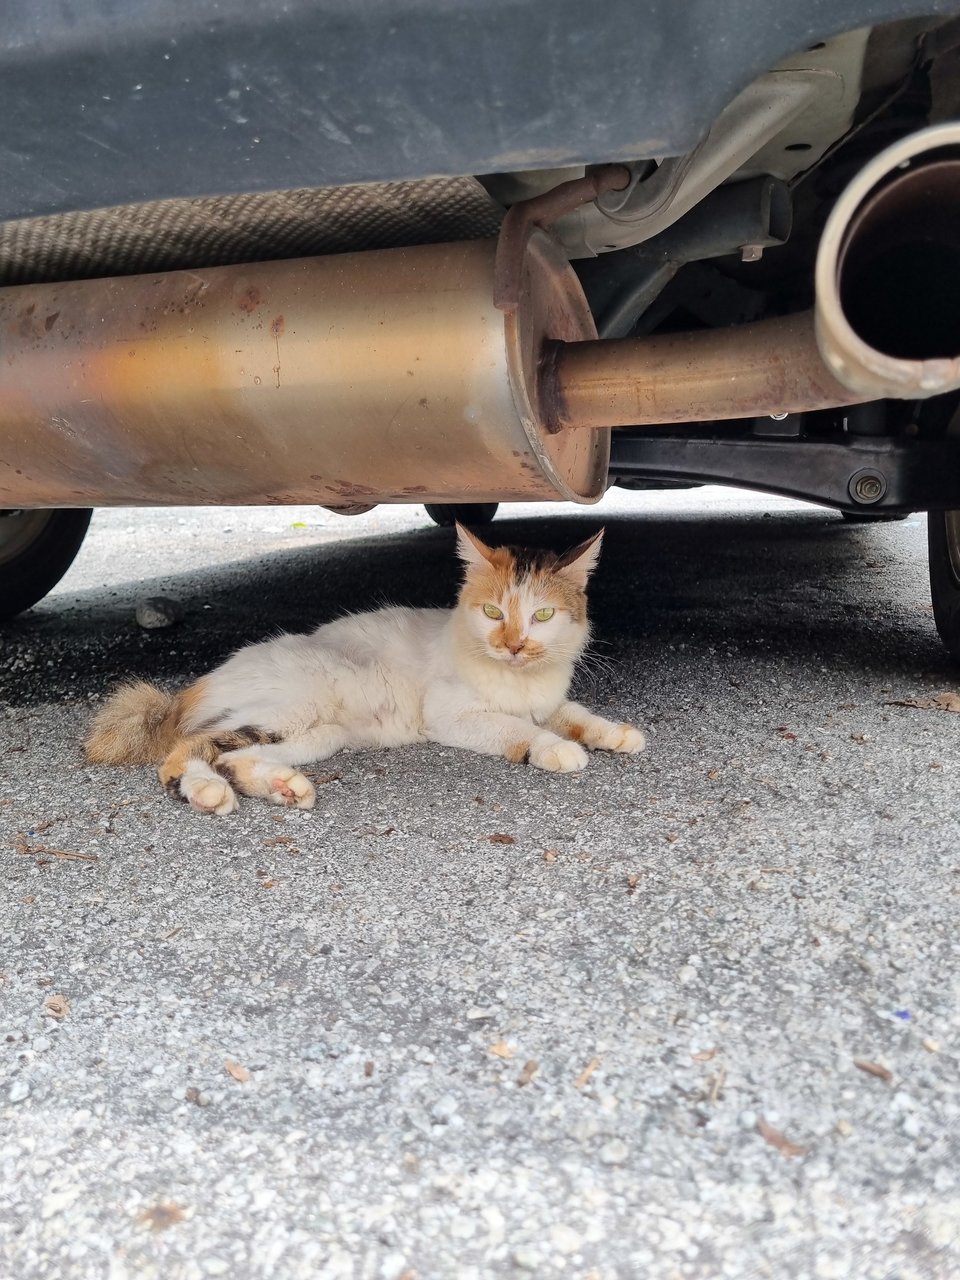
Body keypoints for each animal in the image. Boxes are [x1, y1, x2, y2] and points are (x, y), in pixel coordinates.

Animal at [86, 522, 647, 814]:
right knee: (183, 755)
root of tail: (193, 687)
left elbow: (577, 714)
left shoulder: (549, 701)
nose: (512, 645)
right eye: (493, 612)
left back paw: (282, 787)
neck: (518, 678)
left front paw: (618, 734)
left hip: (317, 735)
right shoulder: (453, 718)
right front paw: (556, 749)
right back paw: (208, 794)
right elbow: (521, 730)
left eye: (543, 615)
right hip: (287, 710)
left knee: (230, 757)